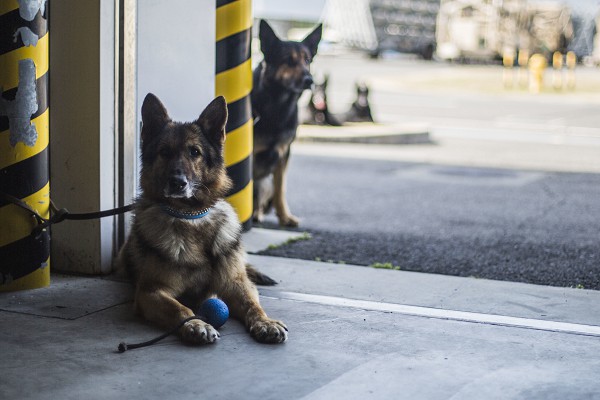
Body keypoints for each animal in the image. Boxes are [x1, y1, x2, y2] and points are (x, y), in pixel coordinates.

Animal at [116, 93, 288, 344]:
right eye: (164, 152)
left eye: (194, 152)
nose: (177, 183)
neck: (190, 217)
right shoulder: (151, 292)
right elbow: (180, 308)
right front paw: (196, 324)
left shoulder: (236, 284)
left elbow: (253, 305)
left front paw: (266, 322)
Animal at [251, 20, 322, 227]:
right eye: (288, 60)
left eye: (307, 60)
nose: (309, 80)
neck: (279, 105)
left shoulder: (284, 154)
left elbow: (280, 189)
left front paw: (284, 216)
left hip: (265, 182)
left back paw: (257, 213)